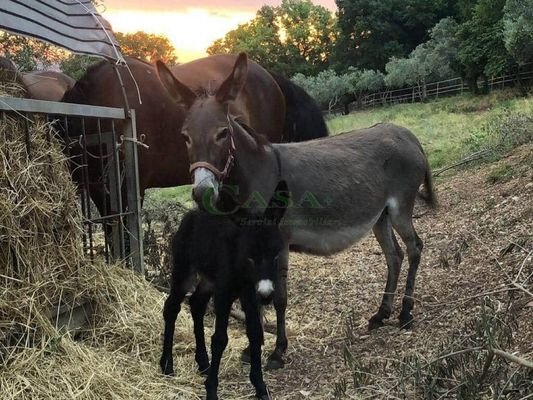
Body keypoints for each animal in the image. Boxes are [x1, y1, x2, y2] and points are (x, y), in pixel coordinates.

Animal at [155, 53, 436, 368]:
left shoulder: (279, 242)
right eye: (185, 137)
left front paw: (278, 351)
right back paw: (381, 314)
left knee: (414, 248)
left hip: (401, 208)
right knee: (394, 255)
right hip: (381, 215)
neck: (258, 173)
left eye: (222, 134)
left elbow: (279, 297)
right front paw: (252, 347)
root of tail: (406, 134)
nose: (202, 192)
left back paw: (405, 313)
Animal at [160, 183, 288, 398]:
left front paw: (260, 387)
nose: (266, 295)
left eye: (276, 256)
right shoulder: (224, 293)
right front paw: (212, 390)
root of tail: (192, 213)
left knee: (196, 304)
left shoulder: (248, 294)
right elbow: (219, 339)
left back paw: (203, 362)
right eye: (250, 257)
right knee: (171, 307)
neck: (242, 270)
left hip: (208, 281)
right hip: (185, 271)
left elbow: (255, 333)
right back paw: (167, 365)